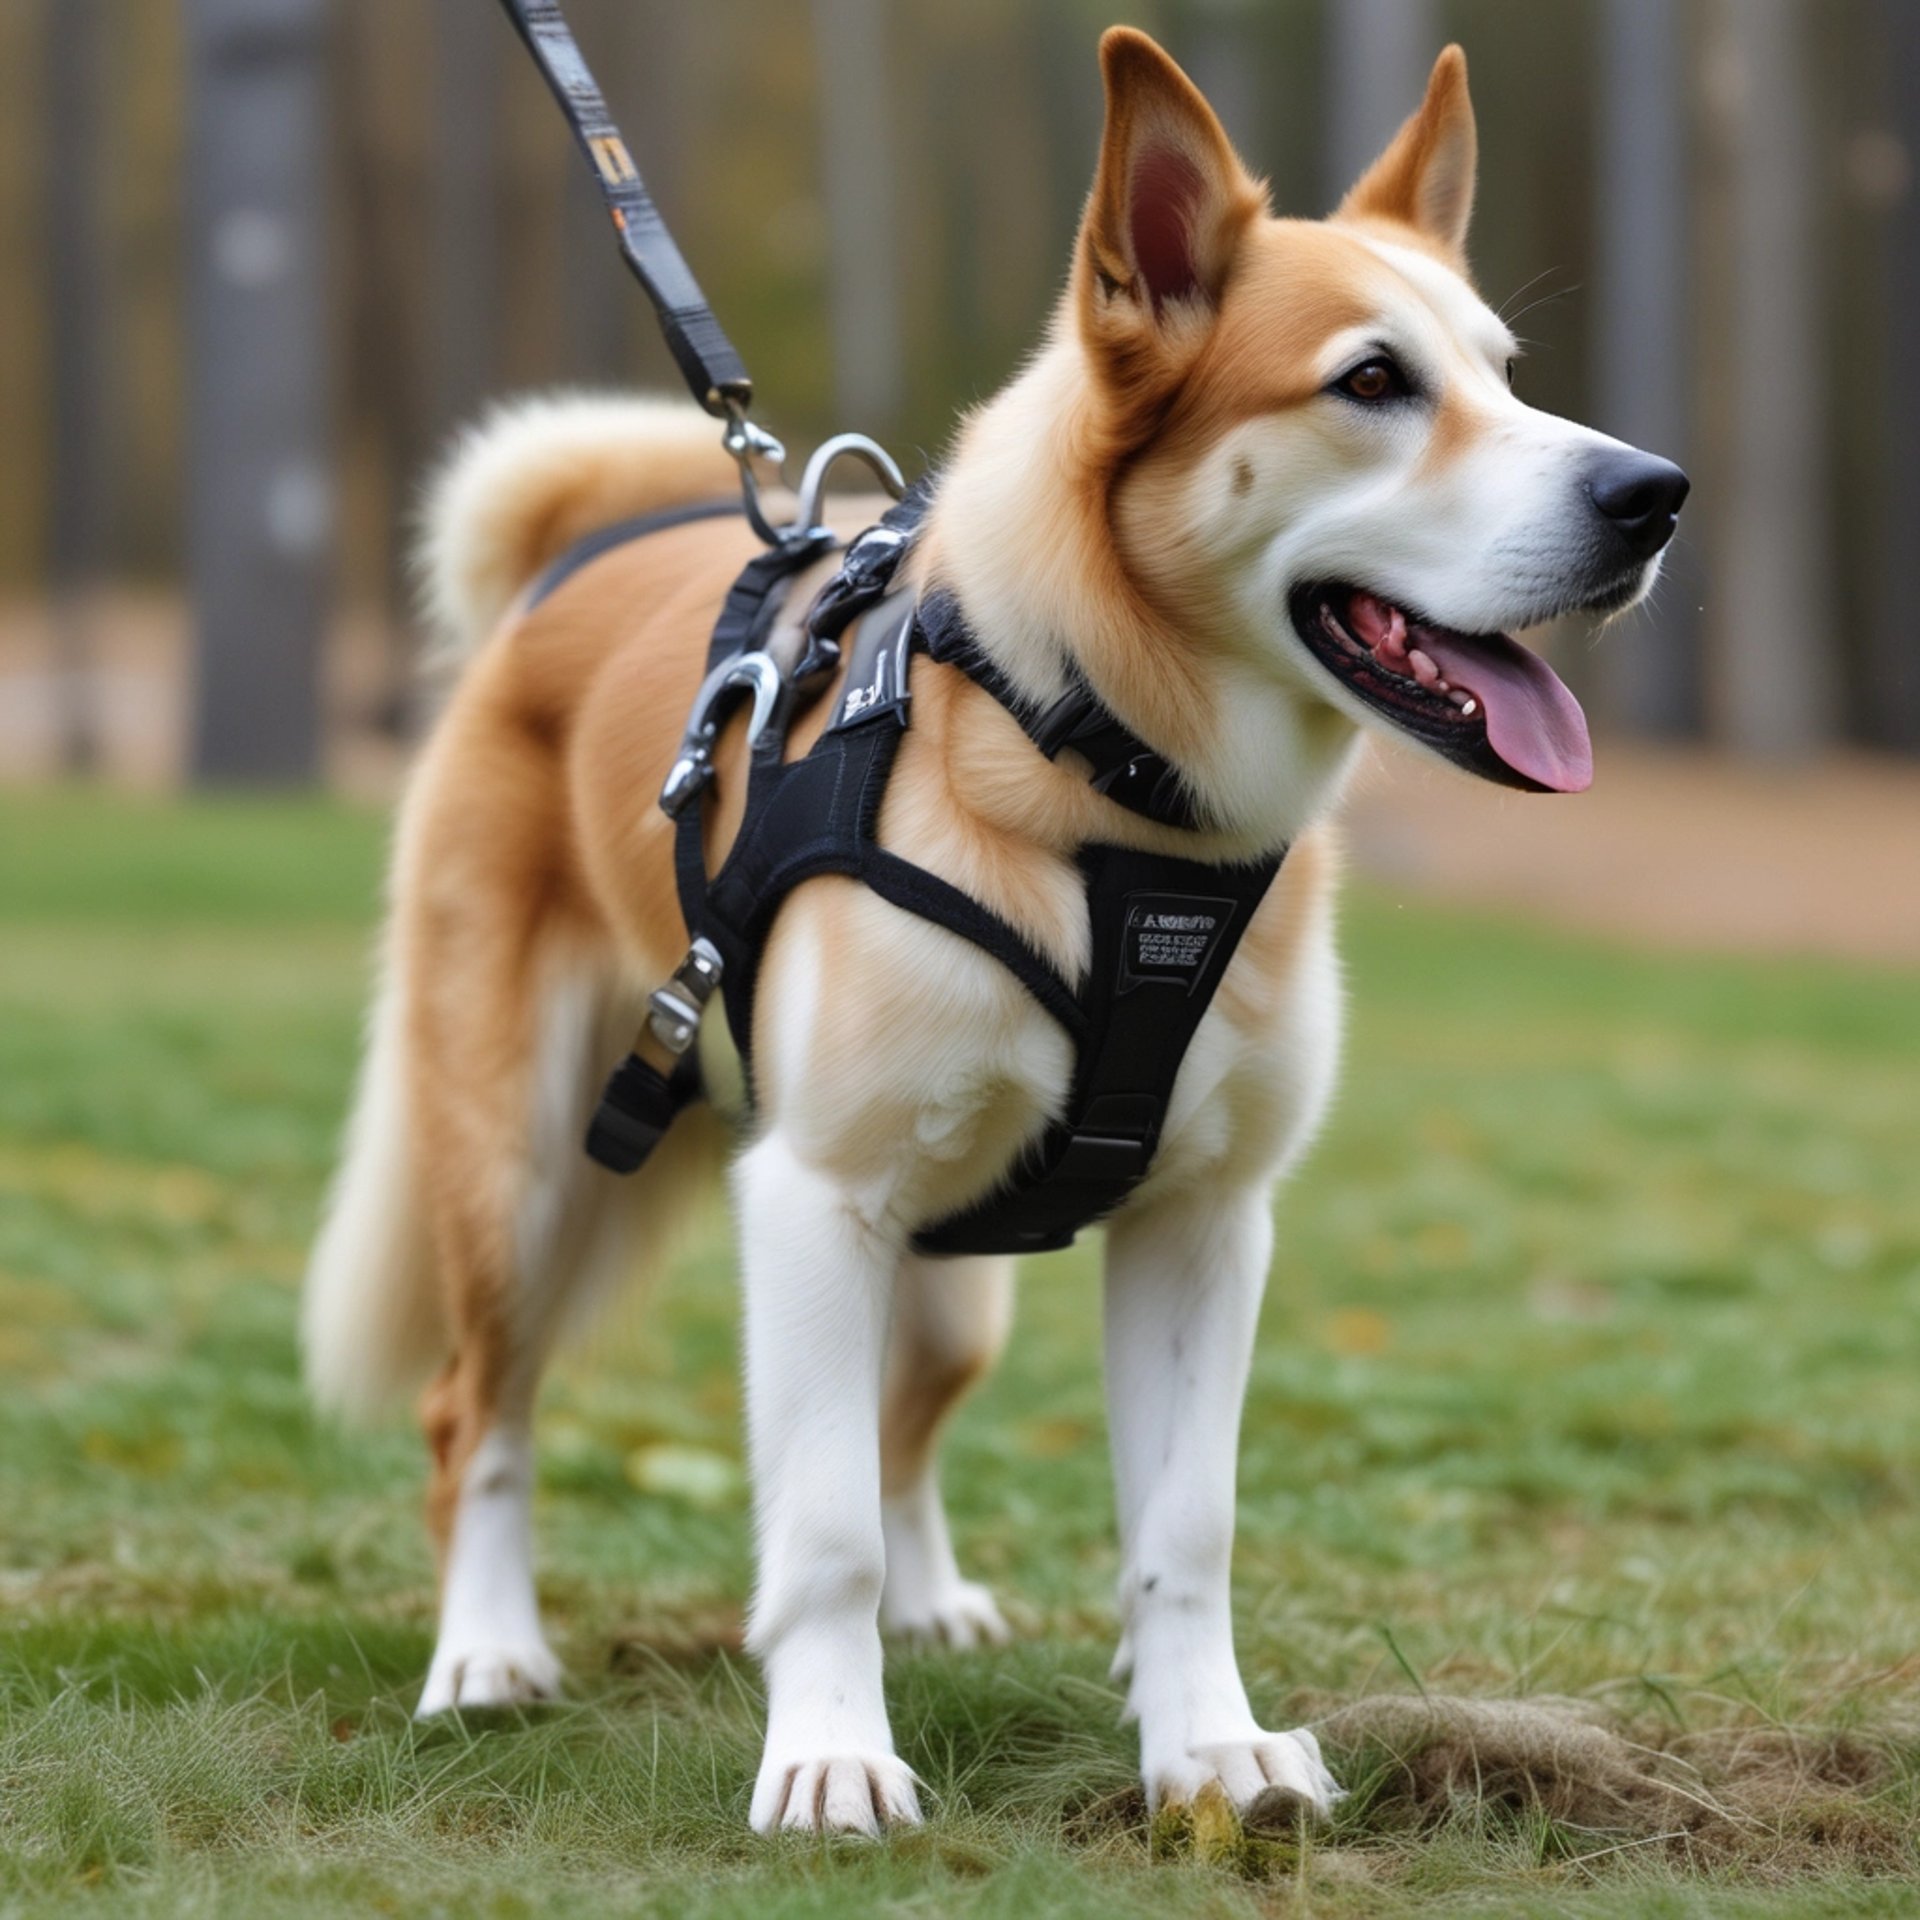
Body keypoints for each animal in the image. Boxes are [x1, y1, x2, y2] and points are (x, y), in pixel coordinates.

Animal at [304, 30, 1686, 1834]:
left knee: (902, 1428)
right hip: (522, 1174)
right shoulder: (812, 1202)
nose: (1655, 495)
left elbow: (1183, 1526)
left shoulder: (1205, 1223)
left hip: (954, 1284)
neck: (1112, 796)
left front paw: (1208, 1749)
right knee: (478, 1415)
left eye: (1507, 375)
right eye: (1374, 383)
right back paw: (485, 1658)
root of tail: (575, 560)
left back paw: (933, 1601)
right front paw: (829, 1756)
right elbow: (813, 1530)